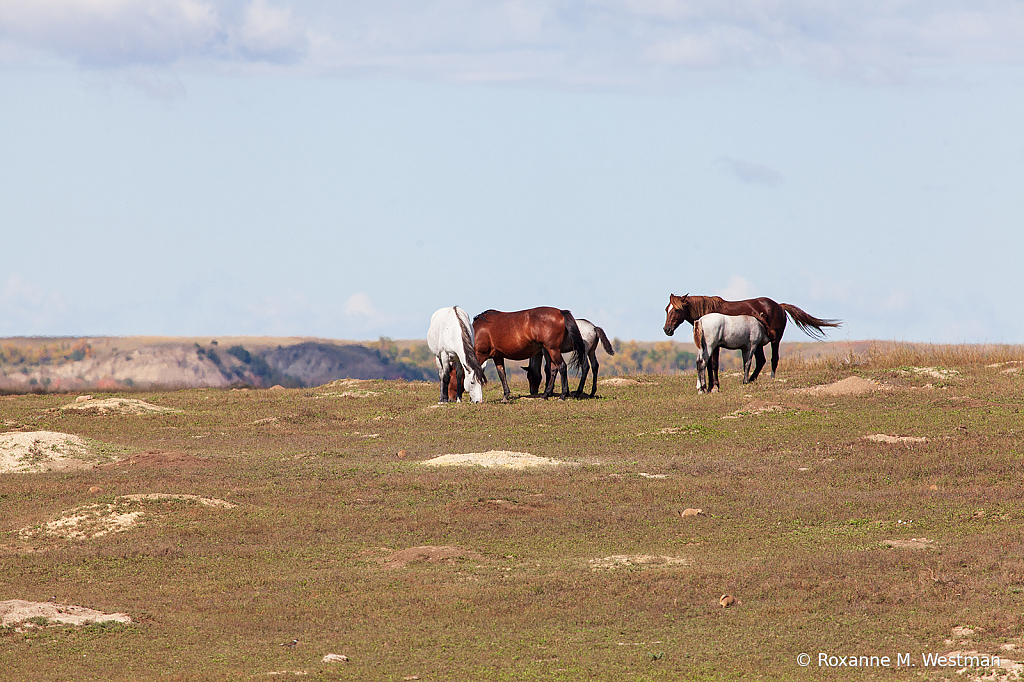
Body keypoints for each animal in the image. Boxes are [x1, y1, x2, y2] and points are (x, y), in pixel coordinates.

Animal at [663, 290, 839, 378]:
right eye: (666, 309)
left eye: (677, 310)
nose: (667, 329)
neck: (709, 311)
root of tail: (779, 306)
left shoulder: (716, 345)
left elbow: (713, 365)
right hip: (759, 344)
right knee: (761, 361)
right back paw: (752, 379)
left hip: (775, 340)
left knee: (774, 359)